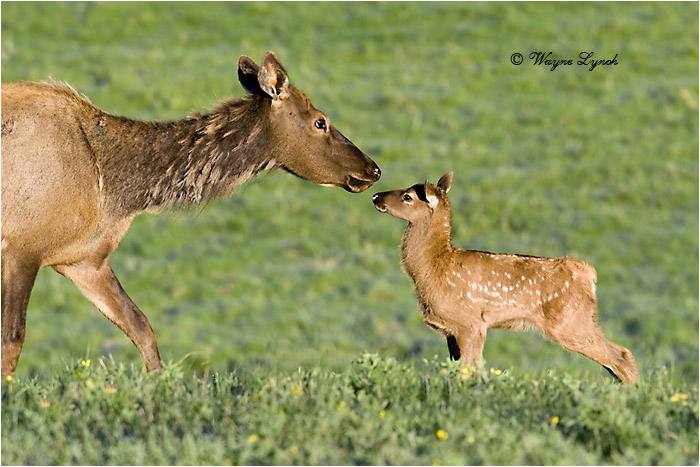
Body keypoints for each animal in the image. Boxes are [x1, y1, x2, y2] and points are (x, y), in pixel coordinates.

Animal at [1, 52, 381, 376]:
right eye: (320, 122)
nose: (372, 169)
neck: (115, 189)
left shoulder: (84, 260)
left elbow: (142, 328)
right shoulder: (22, 246)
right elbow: (13, 339)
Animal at [372, 172, 640, 384]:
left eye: (408, 196)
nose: (376, 197)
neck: (433, 267)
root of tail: (588, 273)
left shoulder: (470, 322)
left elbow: (470, 369)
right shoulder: (452, 331)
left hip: (570, 320)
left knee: (622, 355)